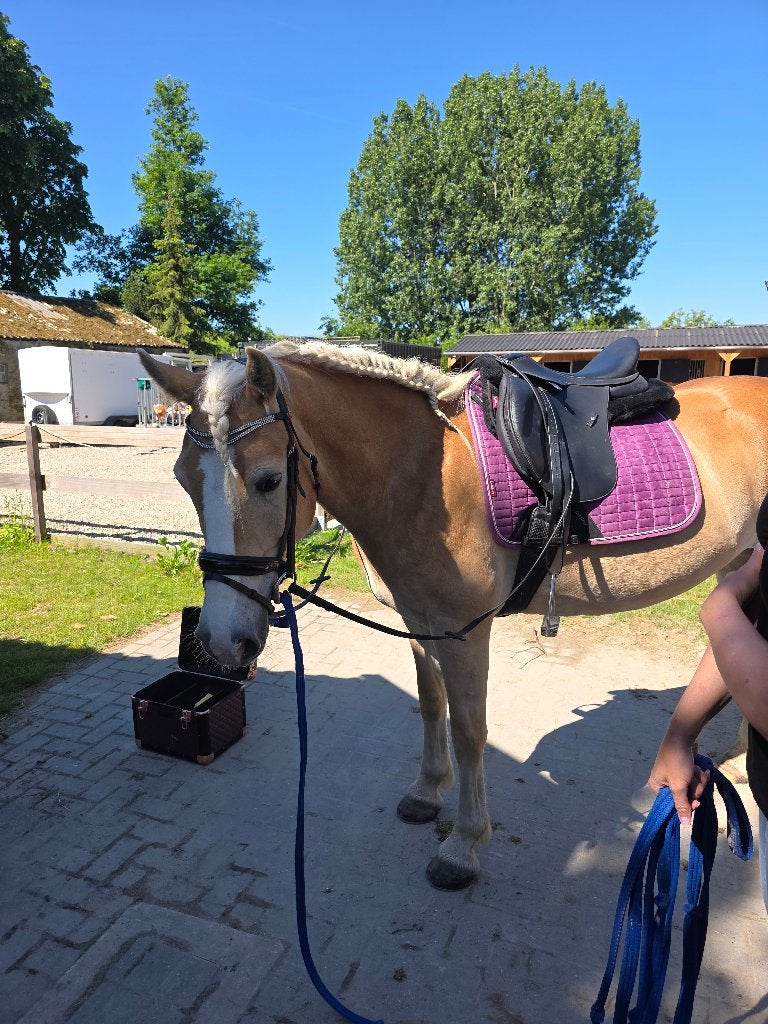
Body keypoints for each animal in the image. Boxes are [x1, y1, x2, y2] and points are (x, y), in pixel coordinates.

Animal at [138, 342, 768, 891]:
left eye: (268, 479)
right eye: (182, 477)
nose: (222, 642)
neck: (422, 473)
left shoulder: (467, 634)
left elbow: (468, 731)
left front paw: (463, 846)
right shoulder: (421, 623)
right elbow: (429, 705)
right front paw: (426, 792)